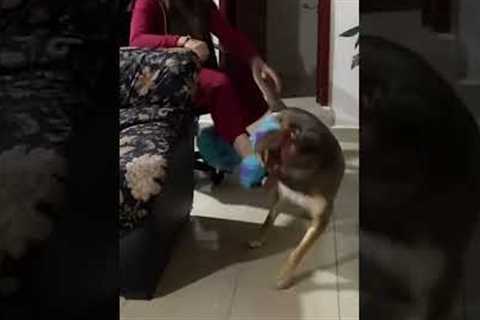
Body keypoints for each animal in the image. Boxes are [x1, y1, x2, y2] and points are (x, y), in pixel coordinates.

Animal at [248, 67, 344, 288]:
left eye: (274, 164)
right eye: (260, 159)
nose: (262, 181)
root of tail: (283, 108)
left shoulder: (321, 214)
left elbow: (298, 252)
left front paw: (284, 276)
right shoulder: (282, 197)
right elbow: (268, 220)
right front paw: (260, 238)